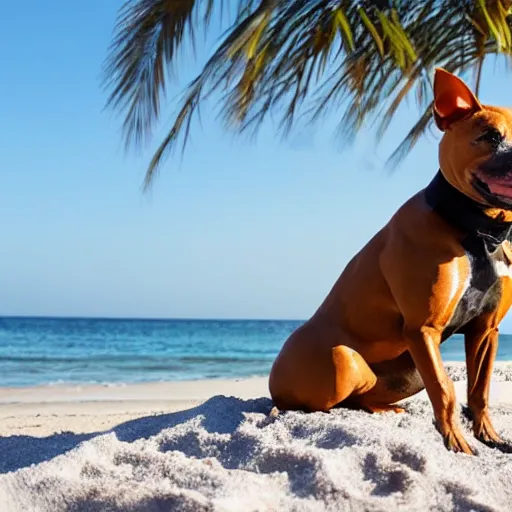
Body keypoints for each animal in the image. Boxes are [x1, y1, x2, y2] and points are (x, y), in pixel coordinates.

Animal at [268, 69, 512, 456]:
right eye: (491, 136)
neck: (474, 231)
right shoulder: (423, 329)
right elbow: (445, 390)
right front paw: (456, 443)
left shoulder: (485, 331)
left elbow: (479, 390)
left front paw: (489, 436)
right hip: (345, 360)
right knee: (326, 403)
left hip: (406, 371)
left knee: (361, 399)